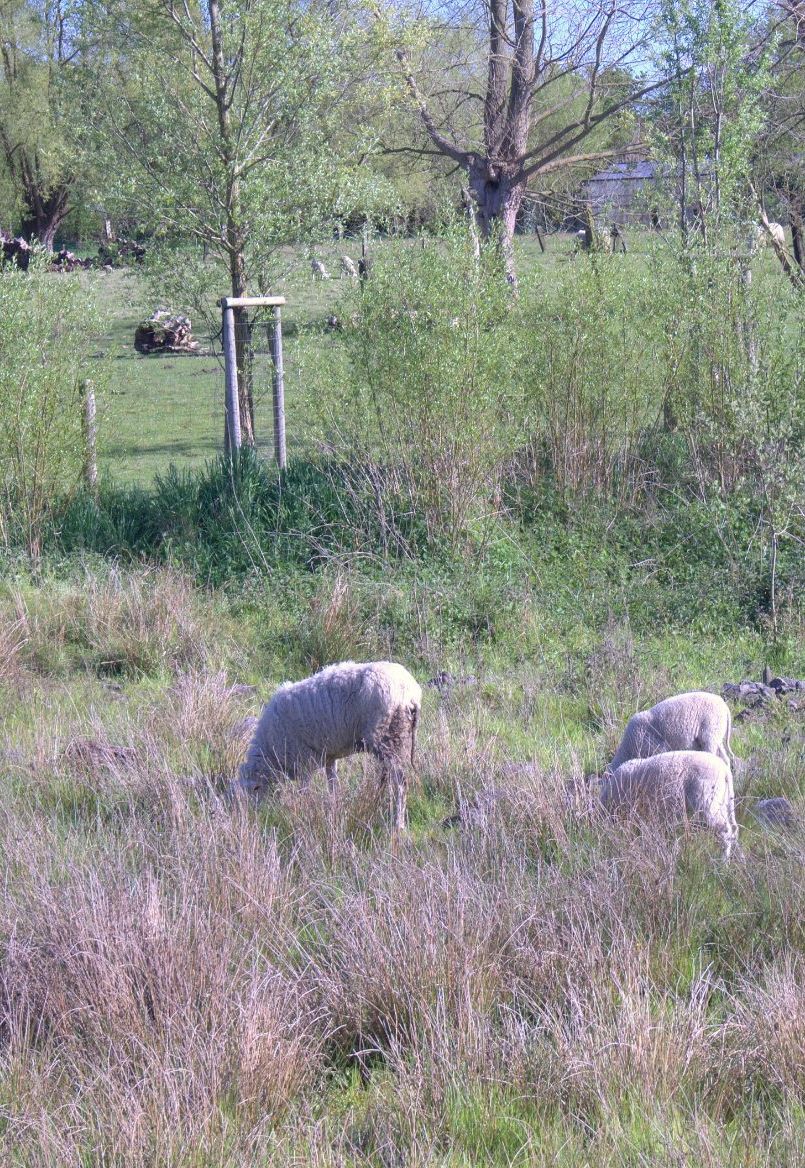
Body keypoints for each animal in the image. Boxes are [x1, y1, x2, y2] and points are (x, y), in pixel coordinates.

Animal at [232, 658, 420, 831]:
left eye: (255, 788)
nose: (253, 814)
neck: (270, 749)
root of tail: (411, 693)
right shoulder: (330, 756)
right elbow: (332, 785)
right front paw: (334, 809)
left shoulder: (304, 760)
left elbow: (304, 790)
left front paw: (303, 812)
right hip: (394, 738)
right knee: (388, 775)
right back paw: (376, 801)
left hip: (386, 736)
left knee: (401, 781)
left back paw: (398, 824)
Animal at [598, 747, 738, 859]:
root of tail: (725, 772)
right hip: (724, 800)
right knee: (732, 829)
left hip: (707, 798)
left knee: (724, 830)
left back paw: (723, 860)